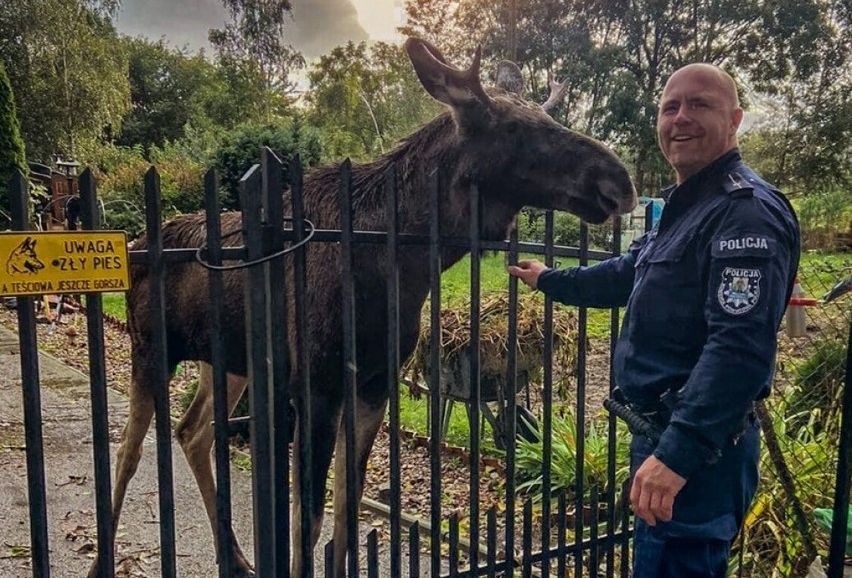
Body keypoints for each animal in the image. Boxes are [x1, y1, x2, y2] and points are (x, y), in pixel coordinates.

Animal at [91, 38, 640, 572]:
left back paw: (237, 555)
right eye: (515, 128)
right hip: (150, 349)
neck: (403, 266)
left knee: (192, 432)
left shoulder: (375, 385)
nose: (621, 181)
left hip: (226, 363)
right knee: (128, 450)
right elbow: (307, 520)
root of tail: (138, 242)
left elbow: (346, 516)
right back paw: (106, 561)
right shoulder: (316, 385)